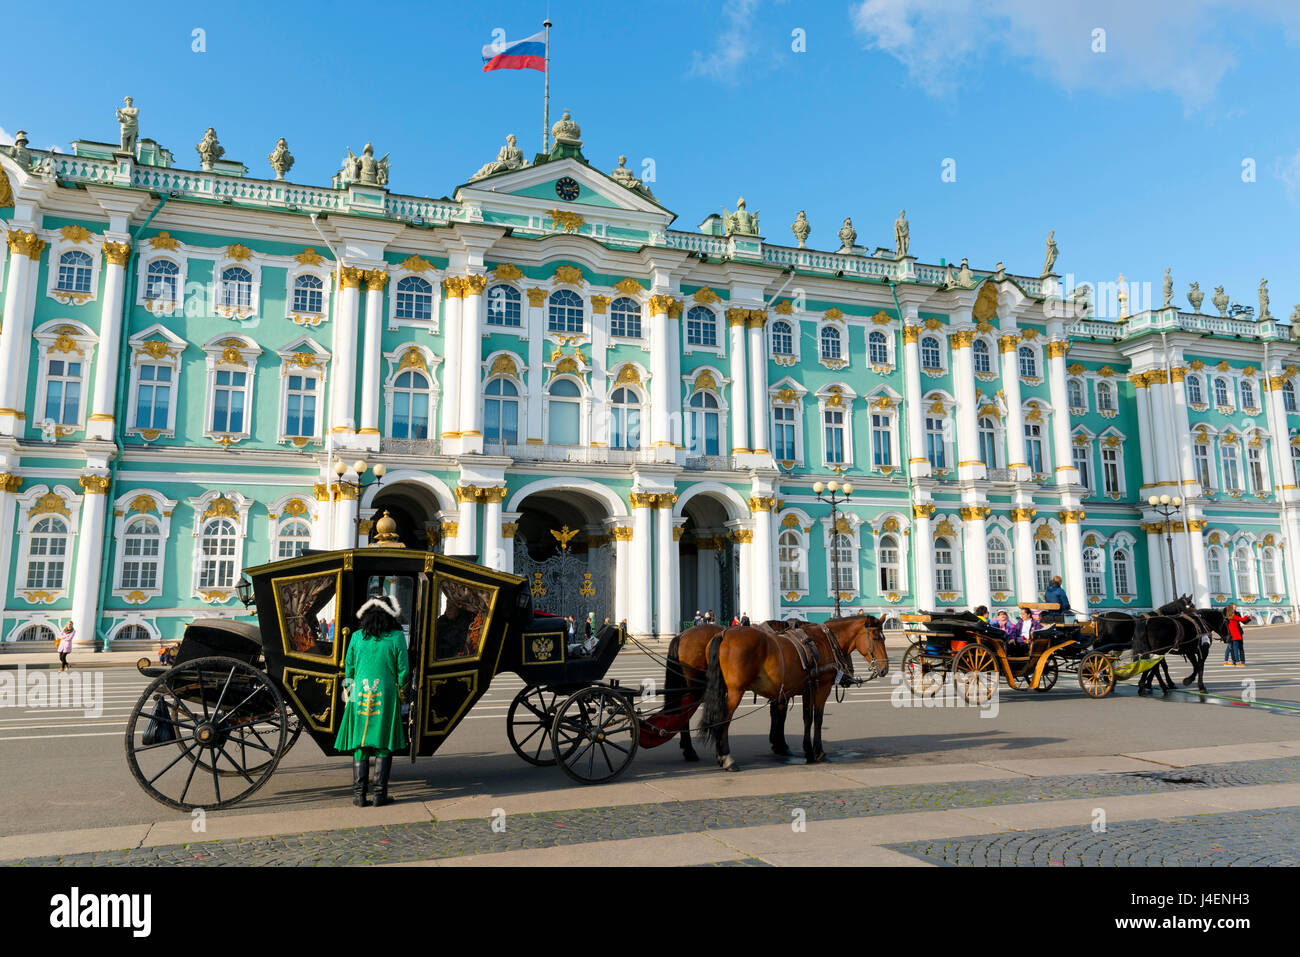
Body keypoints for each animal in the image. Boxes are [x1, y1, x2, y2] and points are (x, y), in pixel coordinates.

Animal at [696, 621, 889, 769]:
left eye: (884, 637)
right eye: (876, 638)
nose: (884, 669)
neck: (823, 642)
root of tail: (723, 633)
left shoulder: (806, 689)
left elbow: (806, 718)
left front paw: (807, 751)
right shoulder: (821, 689)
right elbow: (817, 719)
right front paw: (818, 752)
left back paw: (720, 756)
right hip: (736, 691)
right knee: (724, 719)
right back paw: (727, 759)